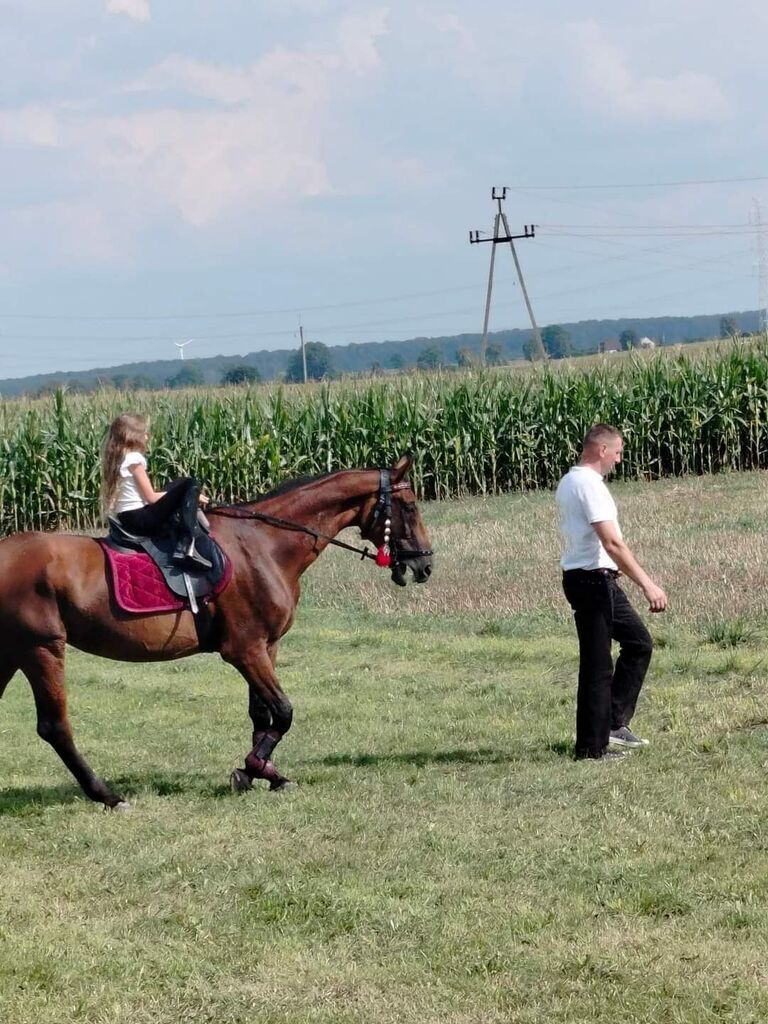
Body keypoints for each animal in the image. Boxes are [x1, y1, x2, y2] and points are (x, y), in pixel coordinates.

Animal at [0, 456, 434, 806]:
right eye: (409, 506)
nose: (425, 565)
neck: (265, 545)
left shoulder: (266, 647)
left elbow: (261, 715)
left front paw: (265, 773)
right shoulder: (244, 650)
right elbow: (283, 712)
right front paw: (251, 768)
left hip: (14, 653)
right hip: (41, 649)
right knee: (55, 726)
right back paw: (107, 795)